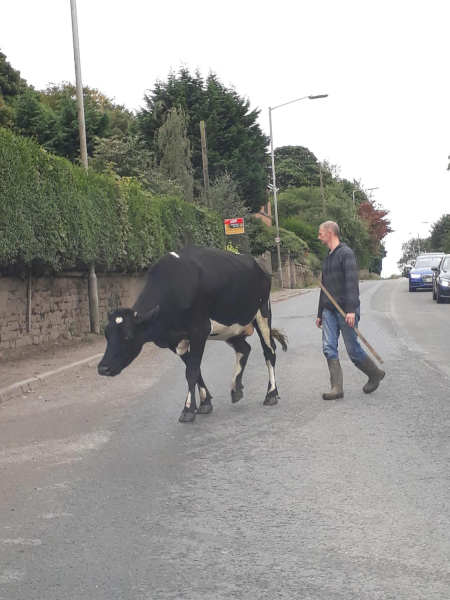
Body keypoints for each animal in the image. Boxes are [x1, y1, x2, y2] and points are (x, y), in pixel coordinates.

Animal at [99, 245, 288, 422]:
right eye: (107, 335)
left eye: (128, 336)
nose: (102, 367)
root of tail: (258, 265)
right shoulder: (174, 340)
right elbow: (195, 370)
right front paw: (205, 402)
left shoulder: (199, 330)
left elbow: (191, 371)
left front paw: (188, 409)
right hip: (229, 328)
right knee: (244, 349)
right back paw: (236, 389)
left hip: (262, 312)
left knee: (269, 352)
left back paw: (271, 394)